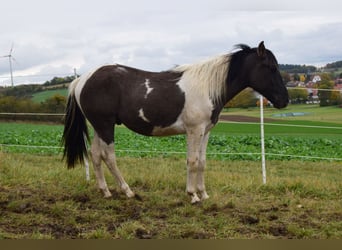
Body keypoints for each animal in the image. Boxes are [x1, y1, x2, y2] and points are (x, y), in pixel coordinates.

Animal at [62, 41, 288, 203]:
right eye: (270, 67)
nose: (285, 100)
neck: (207, 87)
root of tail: (81, 80)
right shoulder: (194, 131)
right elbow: (192, 161)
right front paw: (193, 195)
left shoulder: (206, 131)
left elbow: (202, 162)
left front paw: (204, 194)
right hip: (106, 126)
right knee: (109, 156)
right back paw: (127, 191)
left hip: (99, 127)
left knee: (95, 155)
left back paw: (106, 191)